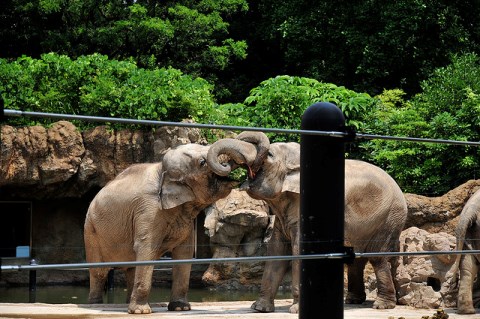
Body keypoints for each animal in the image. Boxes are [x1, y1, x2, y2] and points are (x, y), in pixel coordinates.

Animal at [83, 142, 256, 316]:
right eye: (202, 163)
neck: (161, 170)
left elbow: (184, 253)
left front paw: (181, 308)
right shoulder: (148, 210)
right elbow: (147, 248)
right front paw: (141, 312)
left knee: (131, 269)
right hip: (91, 231)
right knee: (99, 272)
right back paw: (96, 304)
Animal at [208, 132, 406, 316]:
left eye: (269, 155)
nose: (227, 167)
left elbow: (298, 250)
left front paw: (295, 310)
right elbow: (276, 250)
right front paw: (259, 309)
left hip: (388, 218)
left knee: (378, 257)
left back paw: (382, 305)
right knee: (357, 258)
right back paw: (353, 301)